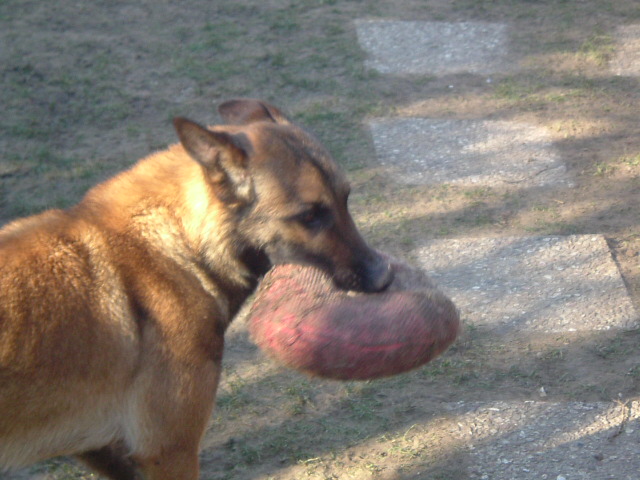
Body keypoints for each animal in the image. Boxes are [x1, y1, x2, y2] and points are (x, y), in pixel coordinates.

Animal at [0, 98, 392, 480]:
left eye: (346, 198)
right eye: (309, 216)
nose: (383, 275)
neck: (178, 245)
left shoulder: (103, 451)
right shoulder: (169, 450)